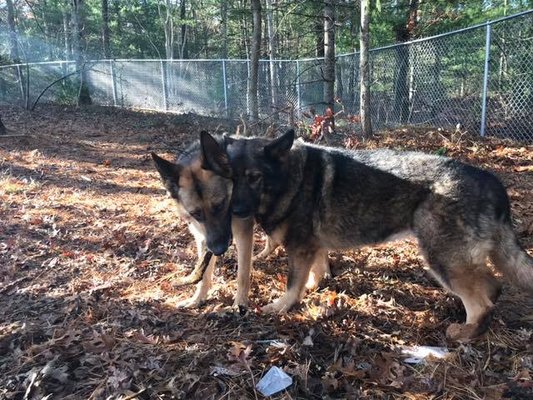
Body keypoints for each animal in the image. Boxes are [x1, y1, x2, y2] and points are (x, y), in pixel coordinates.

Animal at [152, 133, 254, 308]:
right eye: (196, 214)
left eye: (220, 205)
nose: (219, 250)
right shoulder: (203, 239)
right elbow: (204, 274)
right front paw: (198, 298)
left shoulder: (243, 236)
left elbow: (242, 275)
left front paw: (239, 305)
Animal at [202, 129, 532, 340]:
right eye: (229, 178)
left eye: (254, 177)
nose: (237, 211)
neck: (288, 178)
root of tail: (494, 184)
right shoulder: (313, 248)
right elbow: (315, 274)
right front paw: (314, 288)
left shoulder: (300, 248)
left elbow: (292, 285)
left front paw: (282, 307)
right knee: (492, 286)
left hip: (442, 258)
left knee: (482, 302)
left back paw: (466, 333)